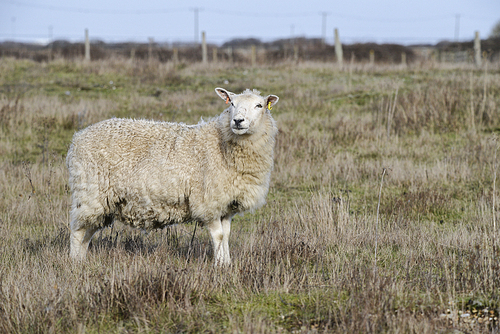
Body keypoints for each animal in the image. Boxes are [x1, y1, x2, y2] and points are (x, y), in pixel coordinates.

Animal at [65, 87, 282, 264]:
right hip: (90, 192)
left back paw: (82, 259)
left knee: (88, 231)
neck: (222, 144)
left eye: (259, 105)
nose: (237, 121)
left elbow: (227, 235)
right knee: (77, 230)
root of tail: (77, 138)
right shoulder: (208, 202)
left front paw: (226, 264)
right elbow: (219, 236)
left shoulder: (226, 204)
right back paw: (75, 263)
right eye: (232, 104)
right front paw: (219, 266)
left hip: (102, 201)